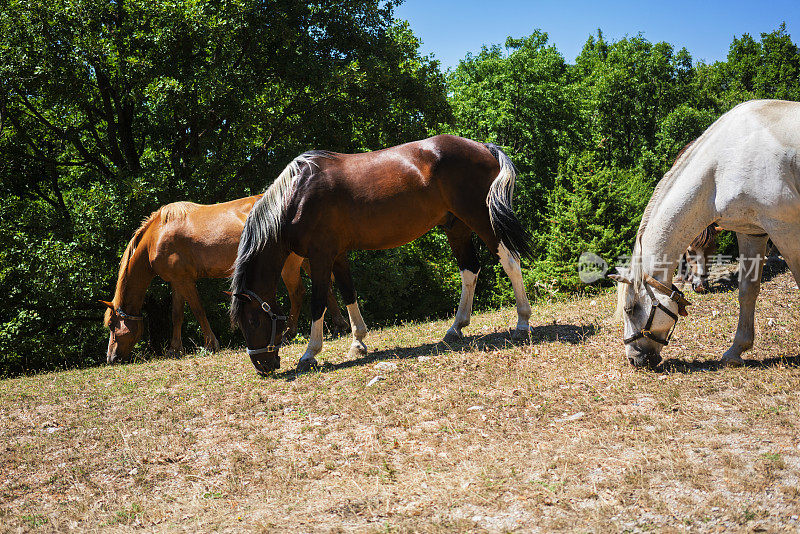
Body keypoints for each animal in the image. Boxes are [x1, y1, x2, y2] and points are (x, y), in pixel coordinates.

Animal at [97, 196, 346, 364]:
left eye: (111, 325)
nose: (110, 358)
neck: (157, 235)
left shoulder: (185, 281)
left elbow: (198, 310)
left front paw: (211, 344)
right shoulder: (177, 282)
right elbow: (177, 315)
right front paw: (175, 349)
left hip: (289, 267)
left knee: (298, 293)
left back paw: (289, 334)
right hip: (307, 260)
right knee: (325, 288)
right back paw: (338, 326)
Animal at [228, 136, 536, 374]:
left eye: (253, 320)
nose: (262, 367)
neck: (297, 195)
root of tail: (484, 147)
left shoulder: (321, 256)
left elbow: (318, 302)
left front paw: (309, 354)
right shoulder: (338, 254)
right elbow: (348, 293)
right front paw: (358, 342)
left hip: (482, 219)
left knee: (510, 261)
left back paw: (522, 322)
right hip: (457, 227)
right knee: (469, 271)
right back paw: (455, 328)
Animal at [612, 99, 800, 368]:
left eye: (630, 310)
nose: (634, 358)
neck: (725, 163)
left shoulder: (785, 228)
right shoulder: (752, 232)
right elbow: (747, 290)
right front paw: (736, 350)